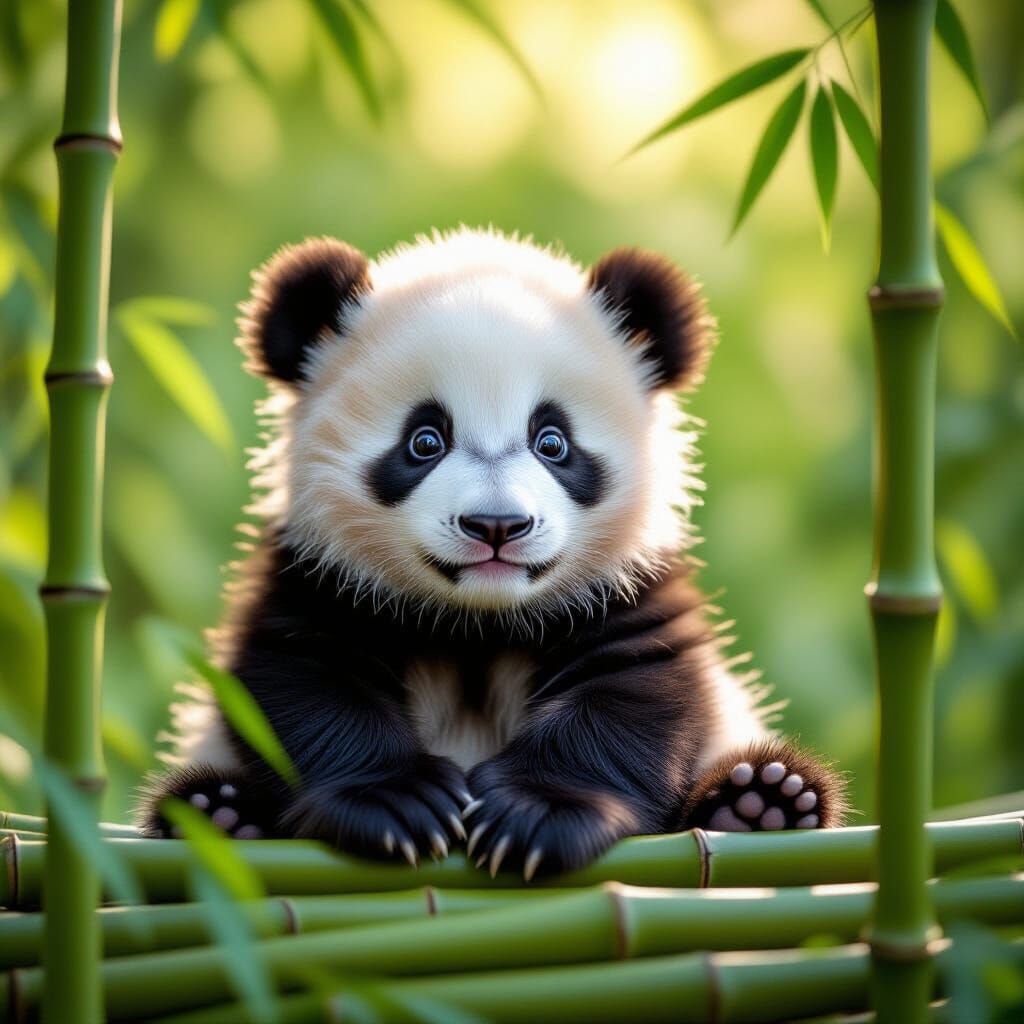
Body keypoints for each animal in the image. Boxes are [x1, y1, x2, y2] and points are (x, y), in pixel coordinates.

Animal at [140, 227, 846, 878]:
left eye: (552, 441)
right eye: (424, 440)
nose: (497, 525)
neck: (478, 623)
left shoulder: (626, 589)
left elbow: (633, 695)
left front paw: (537, 816)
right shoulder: (319, 578)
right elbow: (303, 686)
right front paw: (398, 803)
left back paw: (761, 804)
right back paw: (219, 816)